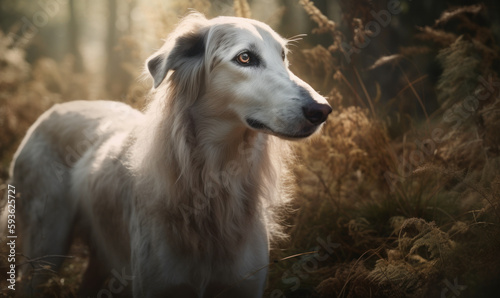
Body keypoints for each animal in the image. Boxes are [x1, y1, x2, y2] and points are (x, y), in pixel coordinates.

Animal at [5, 12, 332, 296]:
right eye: (244, 58)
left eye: (283, 56)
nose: (322, 110)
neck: (212, 178)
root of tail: (54, 109)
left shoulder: (245, 285)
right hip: (44, 253)